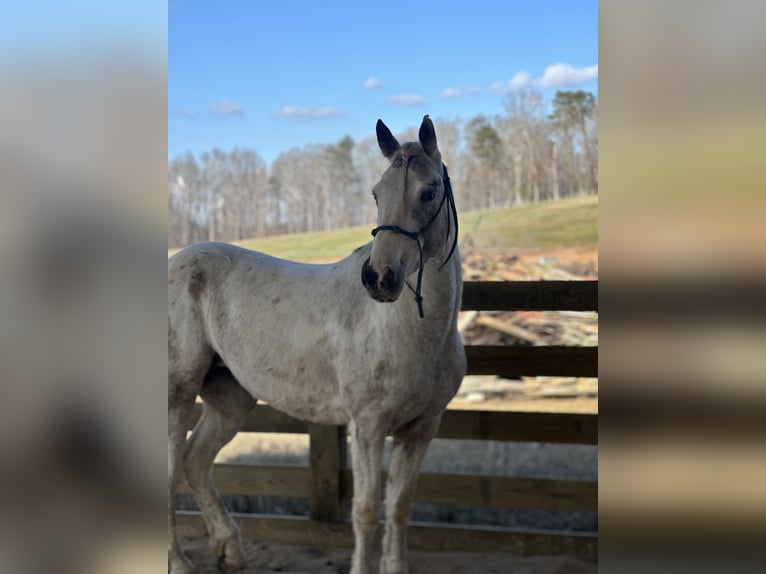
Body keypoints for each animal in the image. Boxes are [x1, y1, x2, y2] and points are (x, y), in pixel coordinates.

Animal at [169, 117, 468, 574]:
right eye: (377, 193)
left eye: (429, 191)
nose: (379, 278)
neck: (412, 331)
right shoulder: (368, 427)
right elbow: (365, 512)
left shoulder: (420, 430)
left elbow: (400, 507)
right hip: (178, 393)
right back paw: (180, 562)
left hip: (230, 399)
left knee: (195, 461)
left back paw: (230, 551)